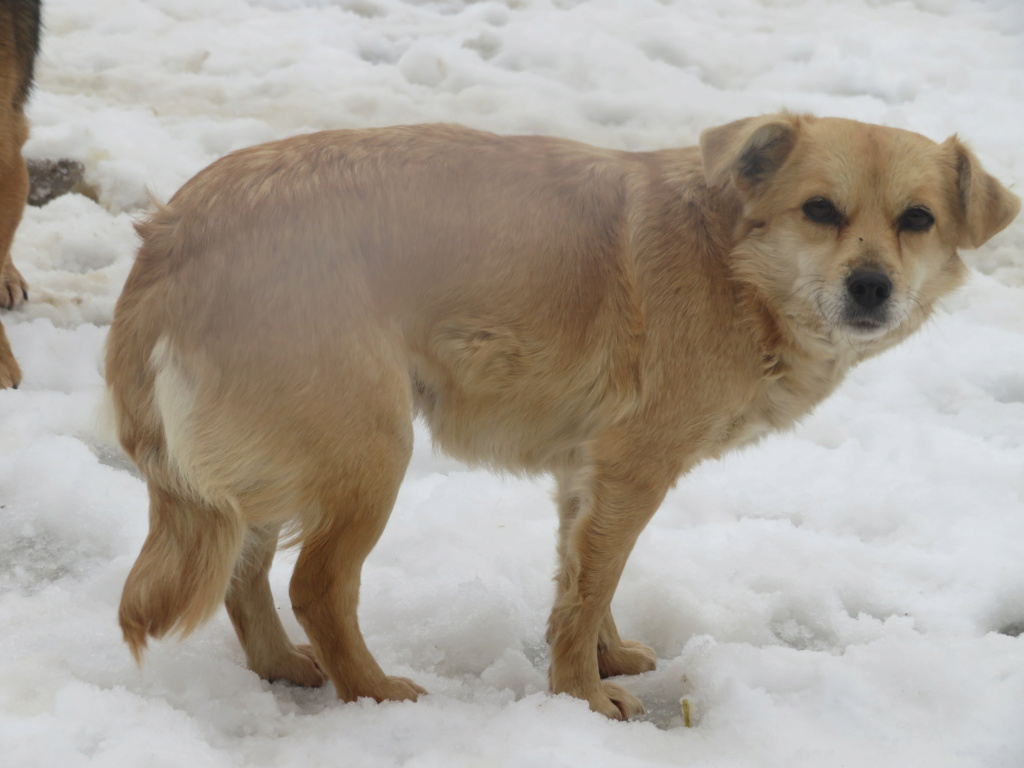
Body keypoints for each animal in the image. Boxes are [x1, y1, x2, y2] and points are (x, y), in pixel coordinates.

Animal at [103, 114, 1015, 720]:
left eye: (918, 220)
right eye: (820, 209)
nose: (872, 288)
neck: (732, 260)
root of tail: (170, 239)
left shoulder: (588, 472)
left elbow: (584, 577)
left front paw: (606, 658)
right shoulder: (632, 467)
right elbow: (589, 588)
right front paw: (582, 697)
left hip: (276, 459)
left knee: (245, 572)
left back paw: (280, 667)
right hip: (370, 451)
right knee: (316, 585)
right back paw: (376, 696)